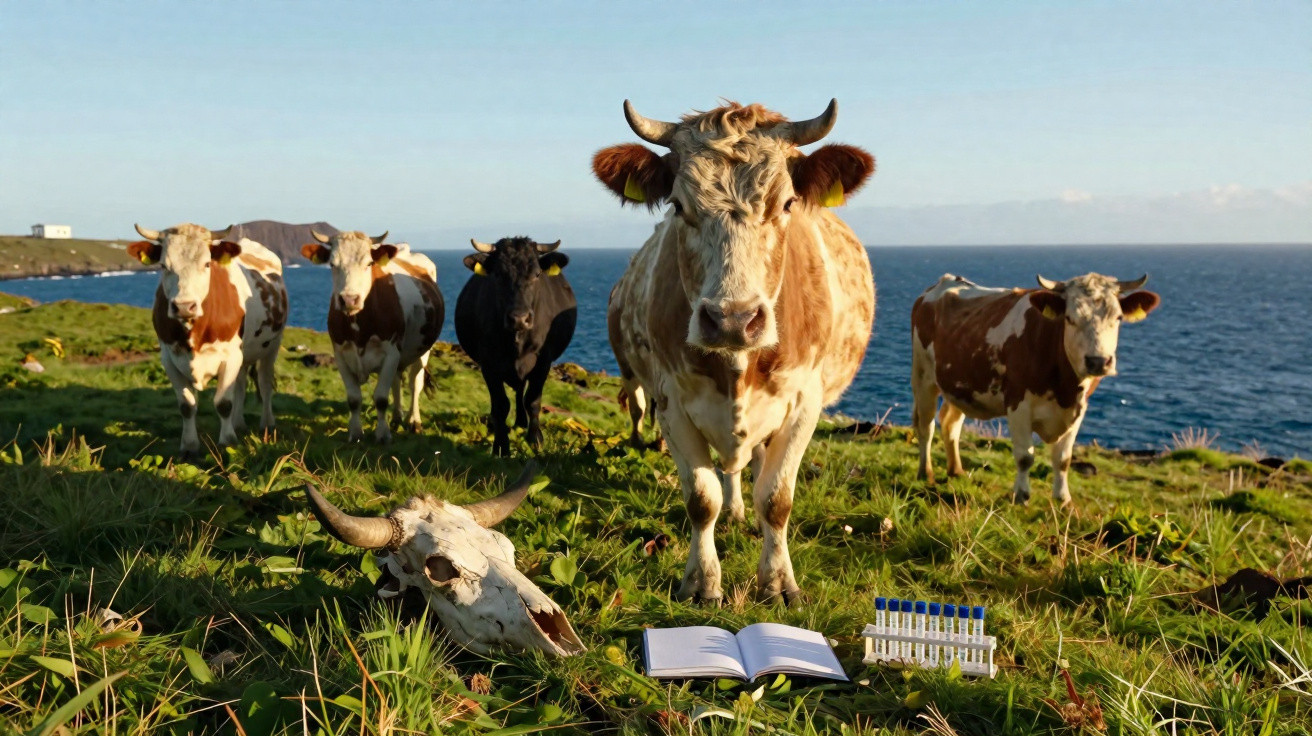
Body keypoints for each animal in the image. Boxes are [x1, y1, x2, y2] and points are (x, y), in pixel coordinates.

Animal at [128, 223, 288, 458]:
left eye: (206, 263)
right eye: (164, 265)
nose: (184, 306)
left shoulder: (231, 356)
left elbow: (223, 403)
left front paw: (228, 442)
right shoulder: (169, 359)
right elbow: (187, 406)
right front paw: (189, 446)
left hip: (271, 346)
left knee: (265, 384)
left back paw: (267, 424)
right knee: (240, 385)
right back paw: (238, 423)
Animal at [301, 230, 445, 444]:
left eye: (369, 263)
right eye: (332, 264)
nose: (349, 299)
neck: (359, 327)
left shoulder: (391, 352)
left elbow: (381, 398)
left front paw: (383, 435)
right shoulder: (341, 355)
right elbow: (354, 399)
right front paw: (355, 433)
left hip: (424, 349)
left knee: (415, 383)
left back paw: (414, 421)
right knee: (397, 380)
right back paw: (397, 418)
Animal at [454, 237, 577, 457]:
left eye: (537, 274)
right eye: (498, 274)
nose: (519, 318)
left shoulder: (543, 360)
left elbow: (533, 401)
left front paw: (535, 440)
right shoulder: (488, 364)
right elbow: (501, 405)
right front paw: (501, 446)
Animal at [594, 99, 876, 604]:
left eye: (787, 204)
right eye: (678, 206)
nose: (732, 319)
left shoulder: (804, 403)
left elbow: (777, 498)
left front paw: (779, 581)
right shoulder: (671, 401)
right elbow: (701, 498)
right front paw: (702, 580)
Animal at [910, 272, 1161, 505]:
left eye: (1118, 317)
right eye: (1070, 318)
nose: (1098, 361)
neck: (1064, 388)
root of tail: (945, 282)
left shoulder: (1078, 408)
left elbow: (1063, 458)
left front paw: (1063, 499)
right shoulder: (1018, 404)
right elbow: (1025, 456)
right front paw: (1021, 496)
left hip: (960, 385)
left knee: (950, 424)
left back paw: (957, 471)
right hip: (923, 375)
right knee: (926, 426)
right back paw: (926, 473)